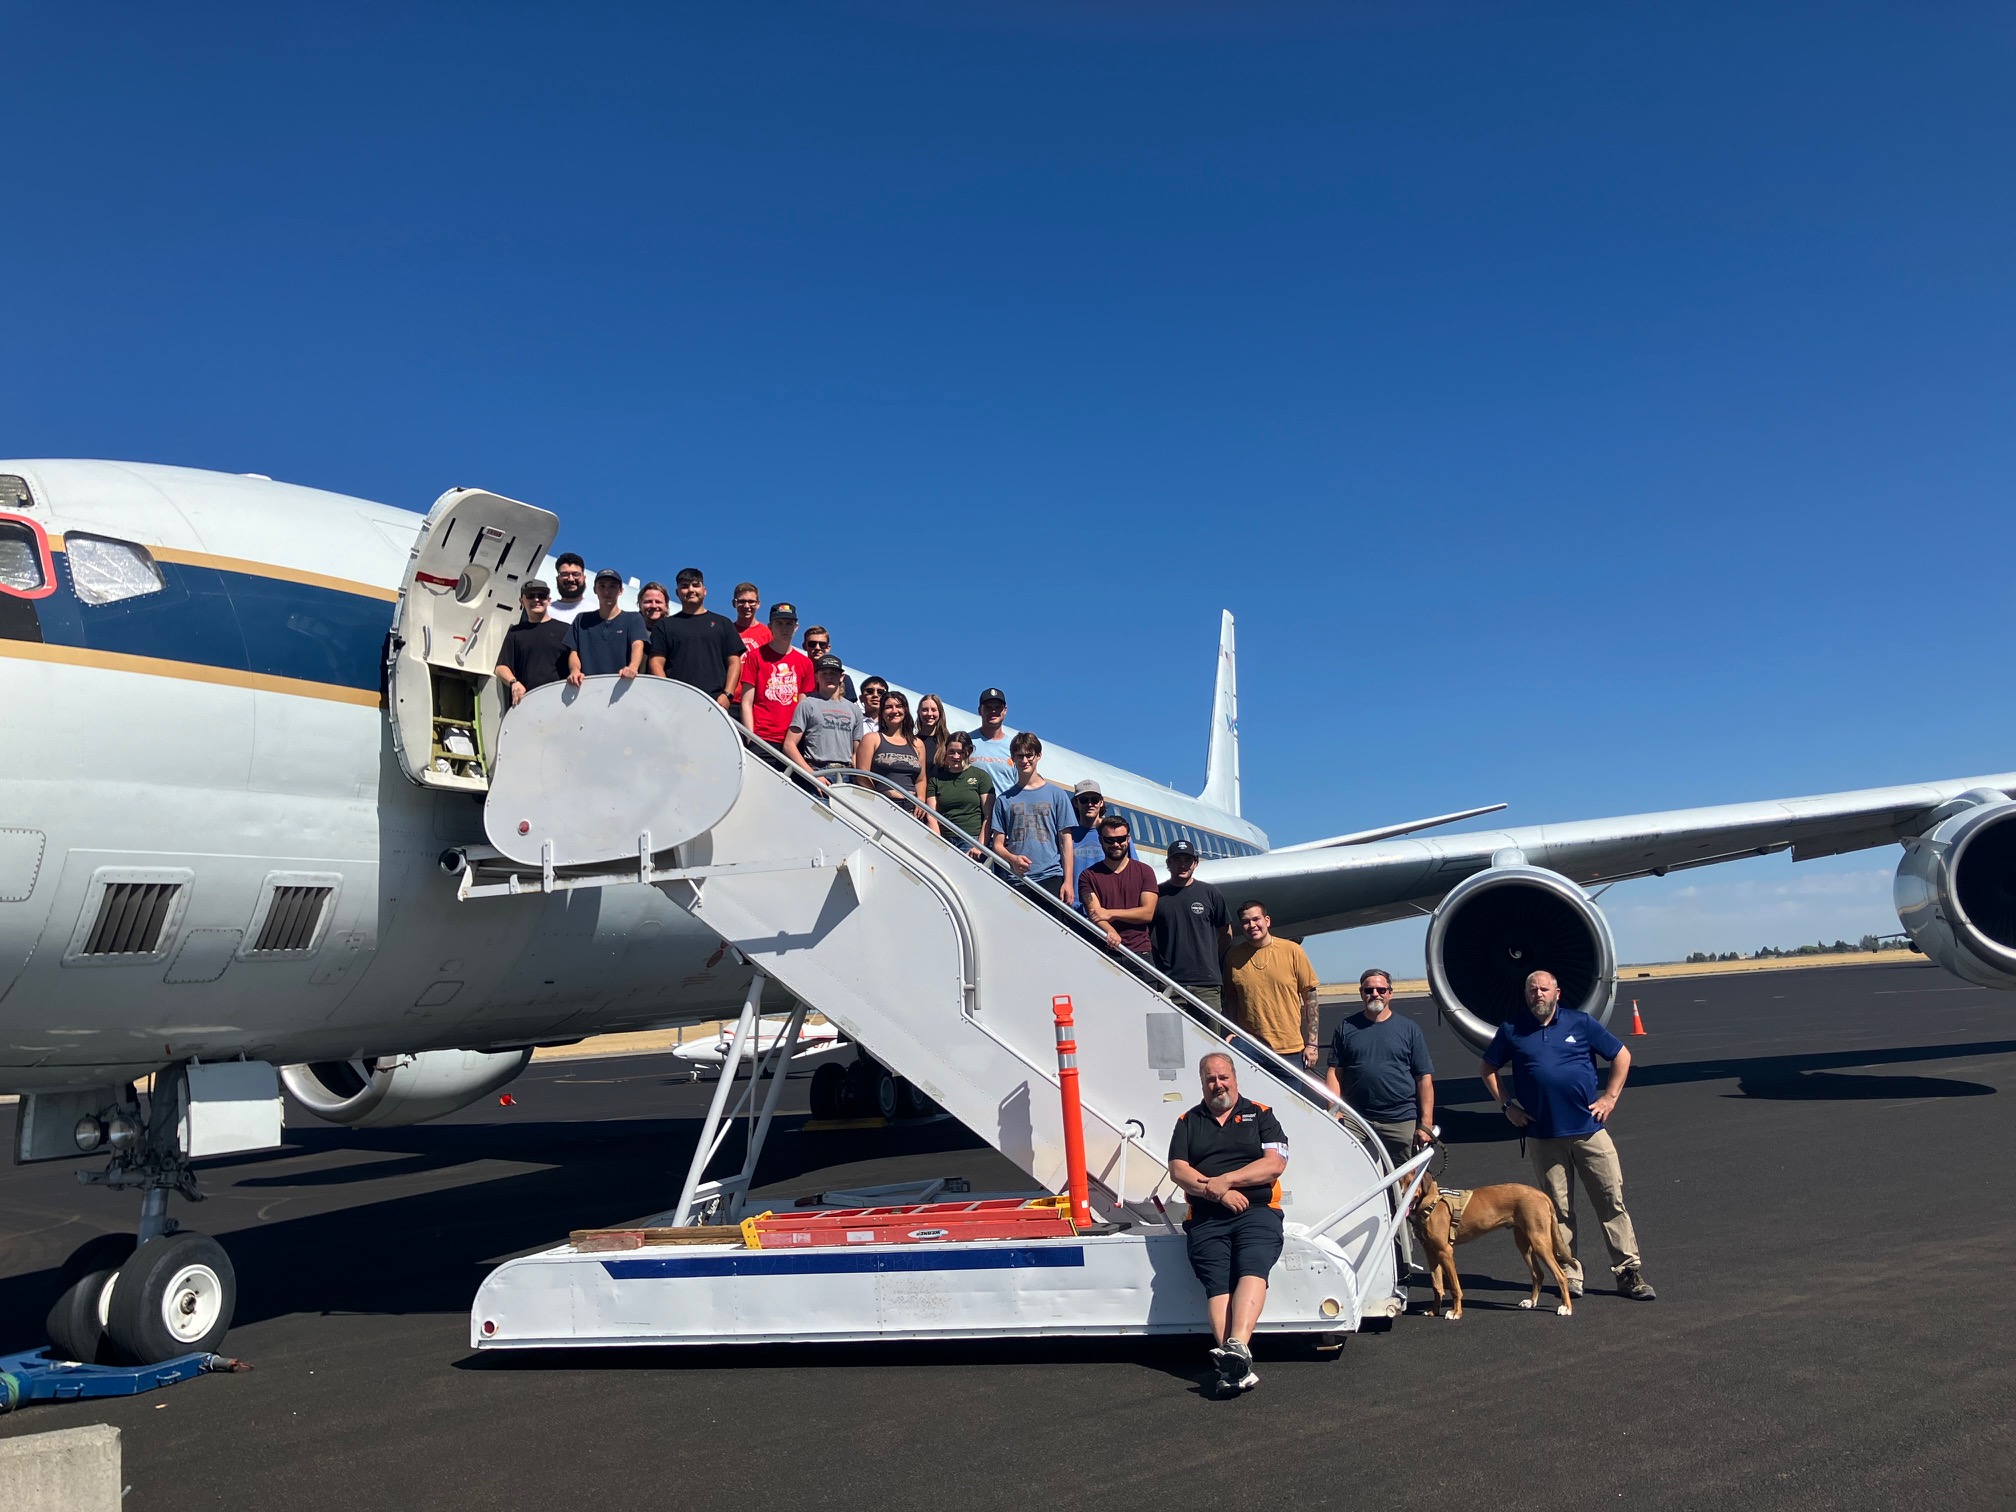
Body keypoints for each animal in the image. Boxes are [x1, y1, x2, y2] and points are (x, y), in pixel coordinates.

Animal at [1411, 1169, 1564, 1322]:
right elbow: (1436, 1285)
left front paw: (1456, 1312)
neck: (1431, 1201)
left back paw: (1565, 1307)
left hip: (1539, 1242)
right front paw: (1434, 1310)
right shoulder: (1430, 1251)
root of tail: (1541, 1194)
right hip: (1524, 1243)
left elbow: (1454, 1287)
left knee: (1560, 1275)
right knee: (1538, 1274)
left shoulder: (1445, 1251)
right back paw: (1531, 1301)